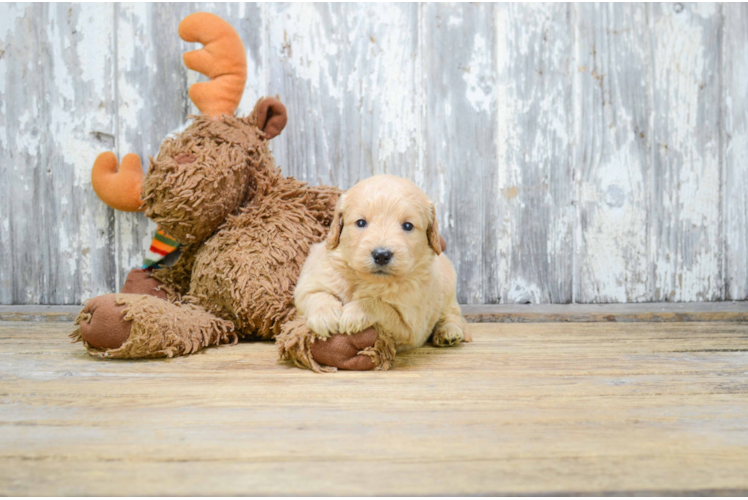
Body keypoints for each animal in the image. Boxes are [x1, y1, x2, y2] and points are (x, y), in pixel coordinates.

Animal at [292, 174, 468, 354]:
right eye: (361, 223)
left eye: (408, 226)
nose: (382, 255)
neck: (366, 279)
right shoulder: (310, 282)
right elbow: (317, 295)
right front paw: (325, 317)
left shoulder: (411, 327)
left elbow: (380, 305)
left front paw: (355, 312)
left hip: (448, 292)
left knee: (453, 315)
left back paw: (449, 332)